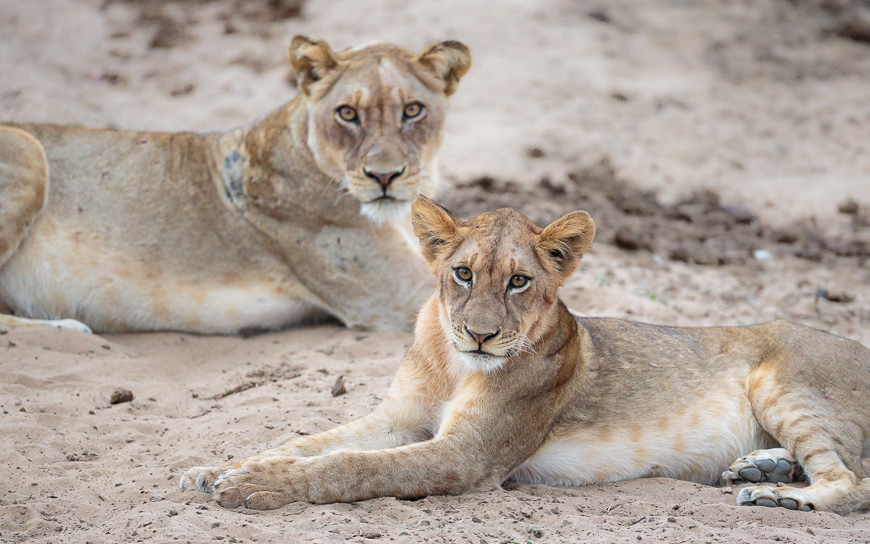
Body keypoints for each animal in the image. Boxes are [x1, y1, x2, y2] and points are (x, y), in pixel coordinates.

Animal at [0, 36, 470, 334]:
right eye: (347, 114)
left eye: (412, 110)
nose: (384, 176)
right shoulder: (397, 296)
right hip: (27, 148)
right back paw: (68, 327)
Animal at [180, 197, 870, 514]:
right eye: (462, 273)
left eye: (518, 282)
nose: (481, 335)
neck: (453, 363)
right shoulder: (398, 418)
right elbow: (311, 440)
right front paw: (219, 468)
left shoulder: (467, 456)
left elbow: (352, 467)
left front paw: (255, 484)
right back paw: (763, 468)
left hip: (784, 384)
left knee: (852, 480)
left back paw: (783, 497)